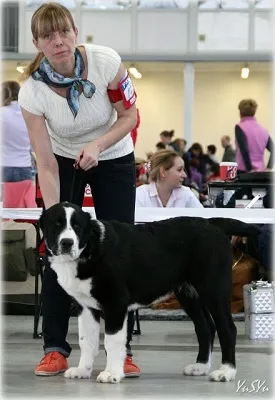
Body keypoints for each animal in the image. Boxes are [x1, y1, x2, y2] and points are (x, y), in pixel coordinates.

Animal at [40, 203, 260, 384]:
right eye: (56, 224)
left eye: (77, 226)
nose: (67, 243)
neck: (92, 248)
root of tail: (212, 223)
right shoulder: (85, 306)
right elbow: (87, 340)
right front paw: (82, 370)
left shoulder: (115, 303)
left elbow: (112, 341)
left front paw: (112, 373)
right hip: (188, 293)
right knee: (205, 327)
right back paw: (200, 367)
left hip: (213, 288)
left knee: (227, 328)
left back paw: (226, 371)